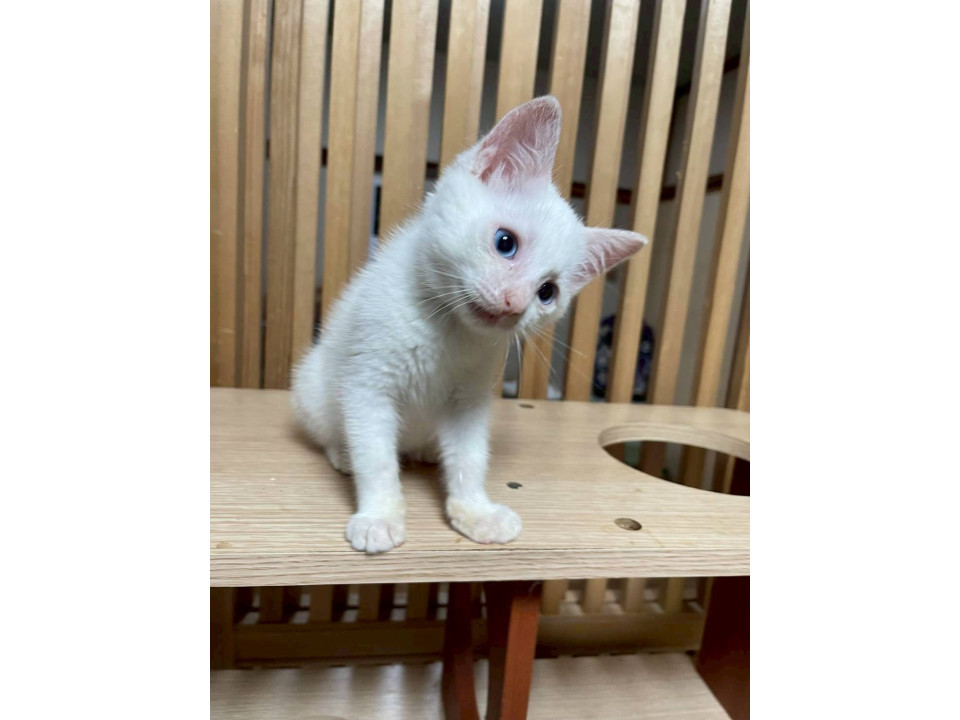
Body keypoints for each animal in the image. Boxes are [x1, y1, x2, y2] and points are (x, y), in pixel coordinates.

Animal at [291, 96, 648, 554]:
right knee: (334, 431)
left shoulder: (469, 399)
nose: (515, 304)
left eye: (547, 292)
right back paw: (342, 454)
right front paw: (379, 515)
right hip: (312, 388)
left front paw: (475, 511)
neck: (447, 329)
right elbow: (376, 457)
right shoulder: (368, 384)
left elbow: (470, 456)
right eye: (505, 242)